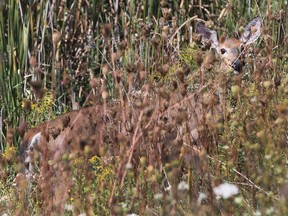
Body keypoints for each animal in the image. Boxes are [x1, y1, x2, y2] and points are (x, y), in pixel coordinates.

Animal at [18, 15, 260, 214]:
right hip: (65, 166)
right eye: (221, 50)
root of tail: (35, 133)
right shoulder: (187, 145)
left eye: (243, 48)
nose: (236, 65)